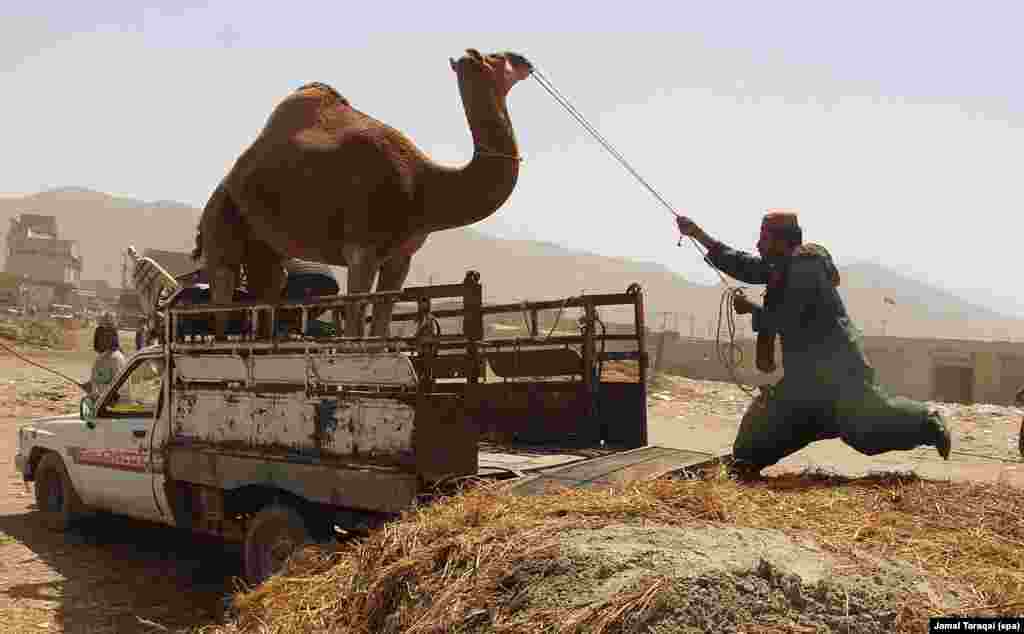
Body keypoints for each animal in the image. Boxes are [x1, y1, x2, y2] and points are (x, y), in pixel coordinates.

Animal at [192, 48, 532, 337]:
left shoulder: (401, 256)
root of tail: (228, 180)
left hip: (263, 244)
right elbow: (355, 324)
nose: (524, 59)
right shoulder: (362, 249)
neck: (424, 187)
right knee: (222, 300)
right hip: (221, 217)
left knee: (267, 293)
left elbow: (381, 324)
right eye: (497, 57)